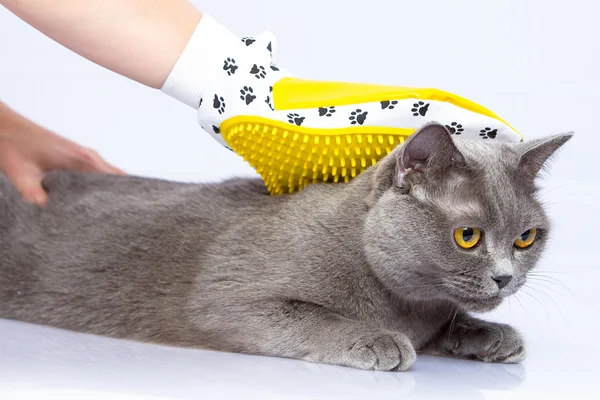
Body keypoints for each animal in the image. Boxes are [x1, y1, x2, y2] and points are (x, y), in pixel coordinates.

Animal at [0, 122, 572, 372]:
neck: (404, 304)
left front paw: (486, 335)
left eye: (525, 238)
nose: (504, 276)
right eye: (467, 236)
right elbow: (313, 318)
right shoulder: (224, 301)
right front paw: (377, 340)